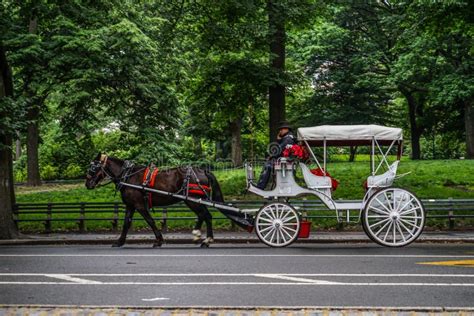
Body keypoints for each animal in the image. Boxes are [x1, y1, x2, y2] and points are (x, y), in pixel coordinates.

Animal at [86, 153, 248, 247]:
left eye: (92, 168)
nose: (87, 184)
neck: (128, 176)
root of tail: (204, 170)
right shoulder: (131, 206)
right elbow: (126, 223)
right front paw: (119, 241)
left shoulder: (139, 205)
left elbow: (150, 221)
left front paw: (159, 240)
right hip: (194, 200)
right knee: (204, 215)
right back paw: (201, 237)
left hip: (192, 200)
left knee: (205, 215)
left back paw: (204, 238)